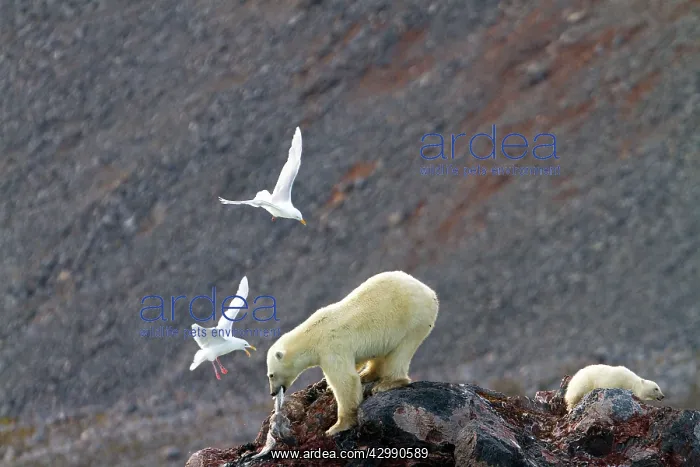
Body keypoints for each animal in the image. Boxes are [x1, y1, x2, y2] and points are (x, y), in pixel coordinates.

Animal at [266, 270, 439, 436]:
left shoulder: (330, 347)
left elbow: (346, 380)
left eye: (271, 375)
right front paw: (326, 385)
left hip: (413, 319)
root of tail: (430, 292)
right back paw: (367, 375)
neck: (312, 334)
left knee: (401, 351)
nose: (272, 392)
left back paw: (387, 383)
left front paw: (336, 427)